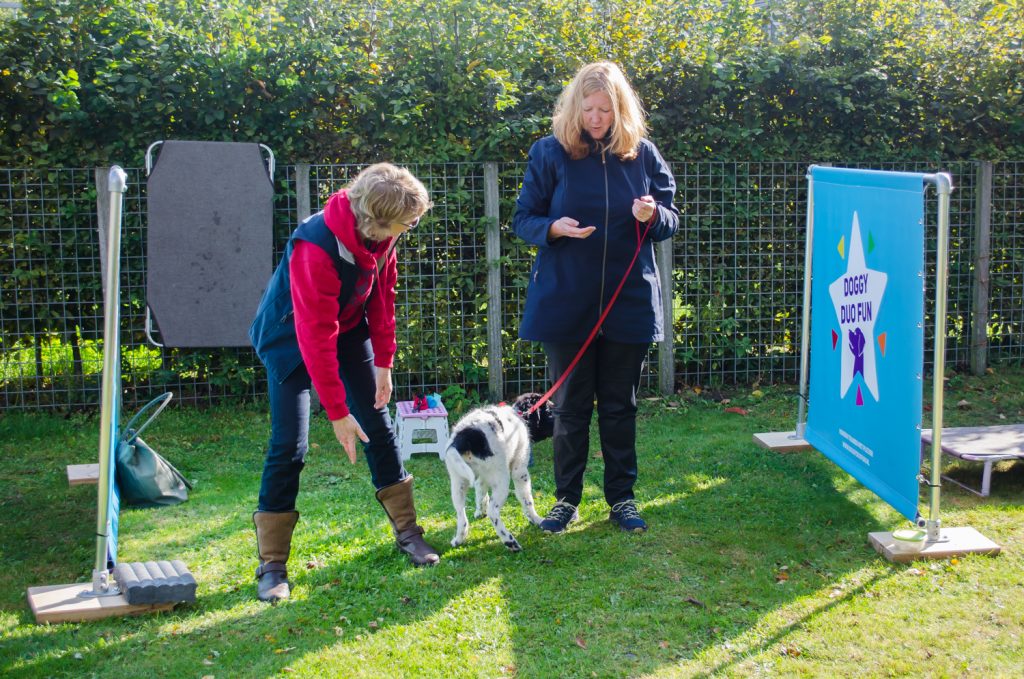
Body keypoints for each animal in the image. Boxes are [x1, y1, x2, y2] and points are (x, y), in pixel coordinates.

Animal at [440, 393, 552, 553]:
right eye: (550, 412)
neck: (519, 415)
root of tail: (464, 438)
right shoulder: (520, 470)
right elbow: (527, 500)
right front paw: (536, 520)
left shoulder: (481, 477)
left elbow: (480, 494)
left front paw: (480, 512)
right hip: (502, 480)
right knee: (493, 512)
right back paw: (510, 542)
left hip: (457, 481)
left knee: (461, 515)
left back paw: (458, 540)